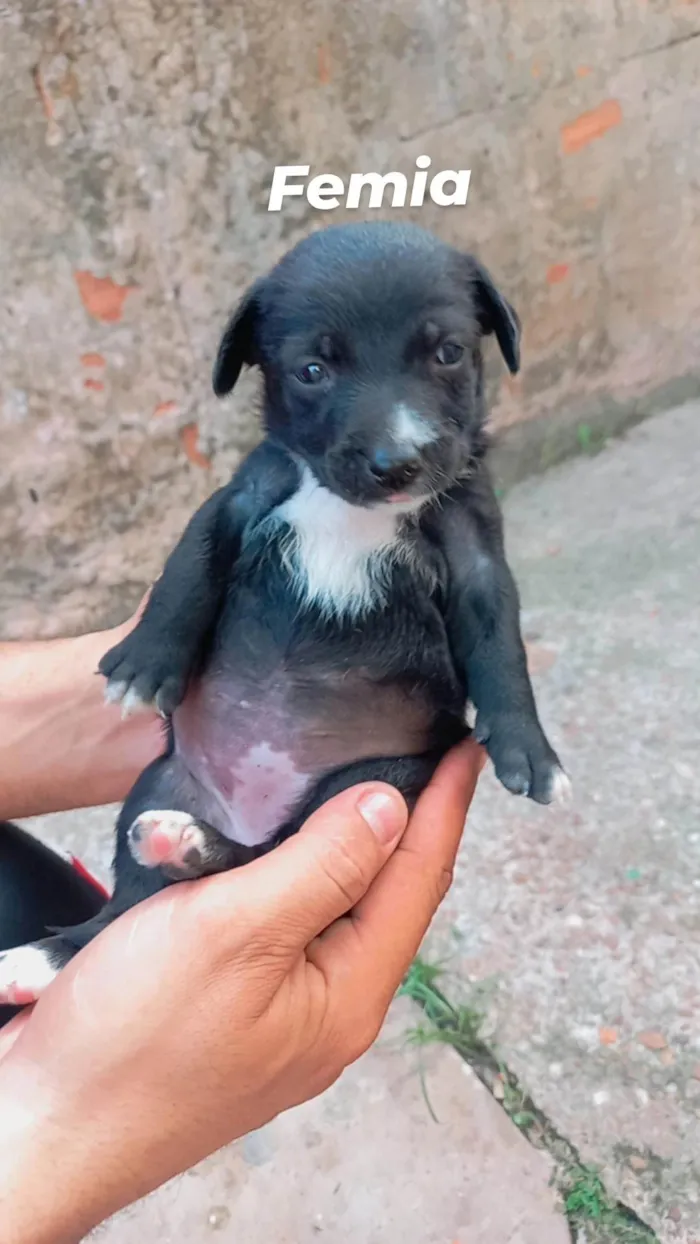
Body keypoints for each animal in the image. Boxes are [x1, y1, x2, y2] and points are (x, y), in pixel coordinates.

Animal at [0, 221, 569, 1000]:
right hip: (160, 782)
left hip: (371, 779)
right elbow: (186, 570)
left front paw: (526, 747)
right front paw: (146, 661)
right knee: (128, 906)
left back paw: (181, 852)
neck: (348, 508)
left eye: (448, 352)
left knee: (253, 856)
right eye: (312, 370)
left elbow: (500, 644)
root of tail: (250, 814)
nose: (397, 462)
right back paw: (48, 954)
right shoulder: (238, 499)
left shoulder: (473, 548)